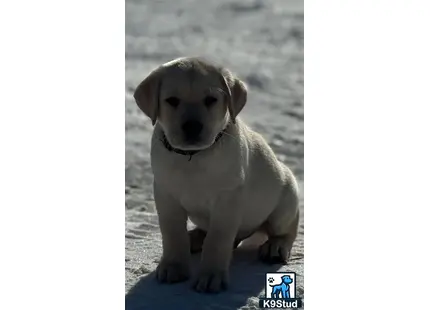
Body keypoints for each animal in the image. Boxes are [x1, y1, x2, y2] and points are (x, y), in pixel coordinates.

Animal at [134, 56, 298, 294]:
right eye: (172, 100)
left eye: (211, 100)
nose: (192, 126)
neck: (193, 157)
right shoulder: (165, 194)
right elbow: (172, 233)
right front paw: (173, 266)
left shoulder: (227, 200)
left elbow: (218, 240)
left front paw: (211, 276)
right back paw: (194, 237)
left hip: (284, 200)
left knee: (288, 228)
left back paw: (275, 247)